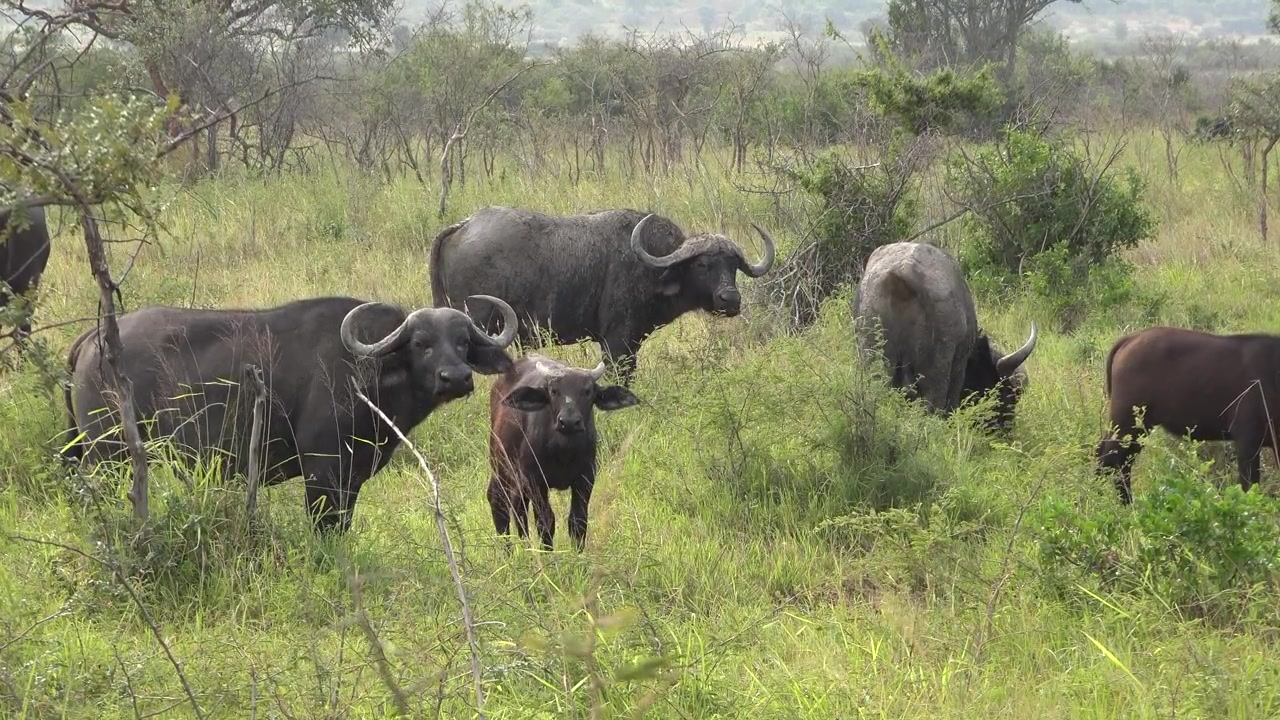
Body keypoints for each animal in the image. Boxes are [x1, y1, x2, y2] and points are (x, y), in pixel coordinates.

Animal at [63, 295, 519, 532]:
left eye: (463, 341)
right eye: (421, 343)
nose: (456, 377)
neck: (366, 372)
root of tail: (95, 338)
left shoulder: (352, 477)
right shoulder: (322, 470)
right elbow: (323, 525)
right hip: (108, 454)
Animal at [429, 206, 776, 385]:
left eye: (733, 266)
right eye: (703, 264)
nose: (730, 300)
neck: (651, 265)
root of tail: (464, 225)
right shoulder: (617, 343)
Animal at [487, 354, 639, 551]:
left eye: (587, 391)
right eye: (554, 391)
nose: (569, 422)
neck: (563, 452)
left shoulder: (585, 478)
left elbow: (578, 521)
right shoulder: (535, 480)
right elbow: (545, 521)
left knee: (518, 503)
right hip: (501, 466)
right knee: (498, 500)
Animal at [853, 241, 1037, 428]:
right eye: (1004, 393)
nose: (1006, 428)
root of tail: (899, 277)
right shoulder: (958, 367)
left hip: (874, 357)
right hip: (936, 368)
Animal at [1097, 326, 1280, 504]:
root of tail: (1131, 338)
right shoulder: (1248, 442)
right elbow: (1249, 485)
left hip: (1140, 428)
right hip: (1127, 423)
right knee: (1110, 459)